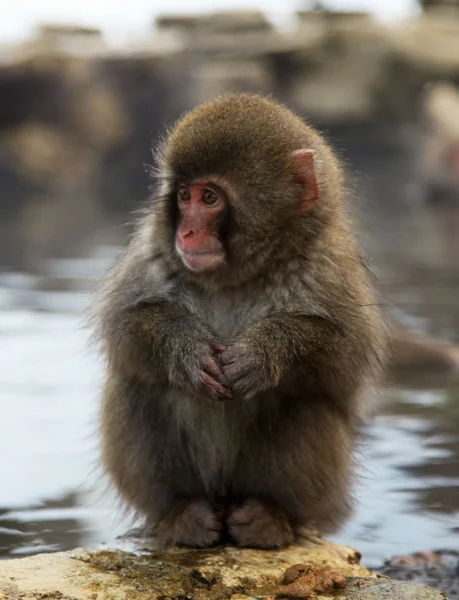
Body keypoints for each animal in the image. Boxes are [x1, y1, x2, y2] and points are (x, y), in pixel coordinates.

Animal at [94, 92, 388, 548]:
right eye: (184, 195)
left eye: (210, 199)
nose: (186, 233)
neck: (236, 276)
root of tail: (223, 495)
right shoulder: (153, 252)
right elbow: (123, 327)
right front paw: (185, 348)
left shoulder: (329, 264)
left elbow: (347, 357)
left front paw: (263, 353)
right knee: (137, 387)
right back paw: (179, 513)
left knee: (308, 405)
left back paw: (272, 516)